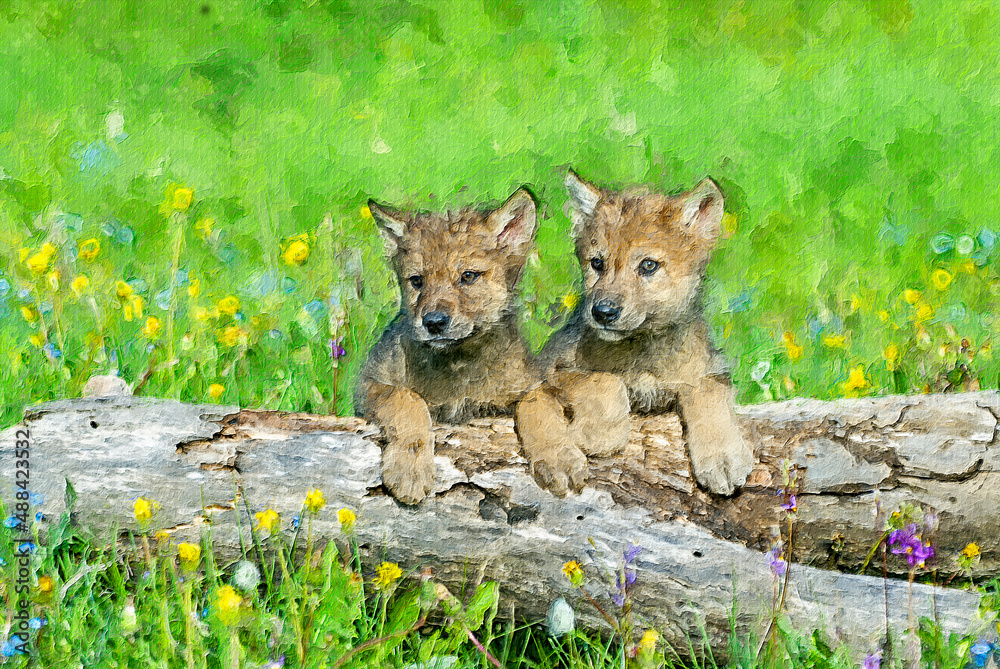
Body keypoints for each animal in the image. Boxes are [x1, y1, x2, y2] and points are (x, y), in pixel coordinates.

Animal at [355, 188, 540, 505]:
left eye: (468, 276)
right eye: (417, 281)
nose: (434, 322)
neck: (457, 365)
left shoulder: (523, 387)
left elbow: (538, 403)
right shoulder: (370, 383)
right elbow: (407, 400)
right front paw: (409, 471)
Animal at [515, 171, 755, 496]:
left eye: (648, 265)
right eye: (597, 263)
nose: (603, 312)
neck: (643, 354)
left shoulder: (709, 369)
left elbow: (708, 394)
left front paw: (724, 458)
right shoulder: (554, 369)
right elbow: (604, 381)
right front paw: (599, 434)